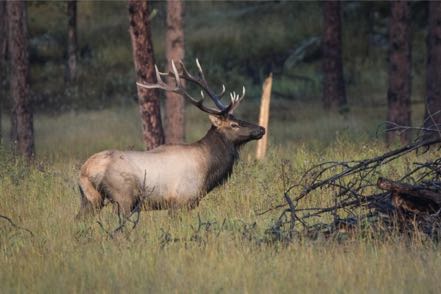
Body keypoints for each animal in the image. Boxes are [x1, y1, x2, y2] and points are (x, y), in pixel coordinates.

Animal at [75, 59, 264, 218]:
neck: (207, 170)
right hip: (123, 198)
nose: (261, 129)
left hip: (90, 198)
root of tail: (85, 170)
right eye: (234, 124)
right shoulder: (180, 202)